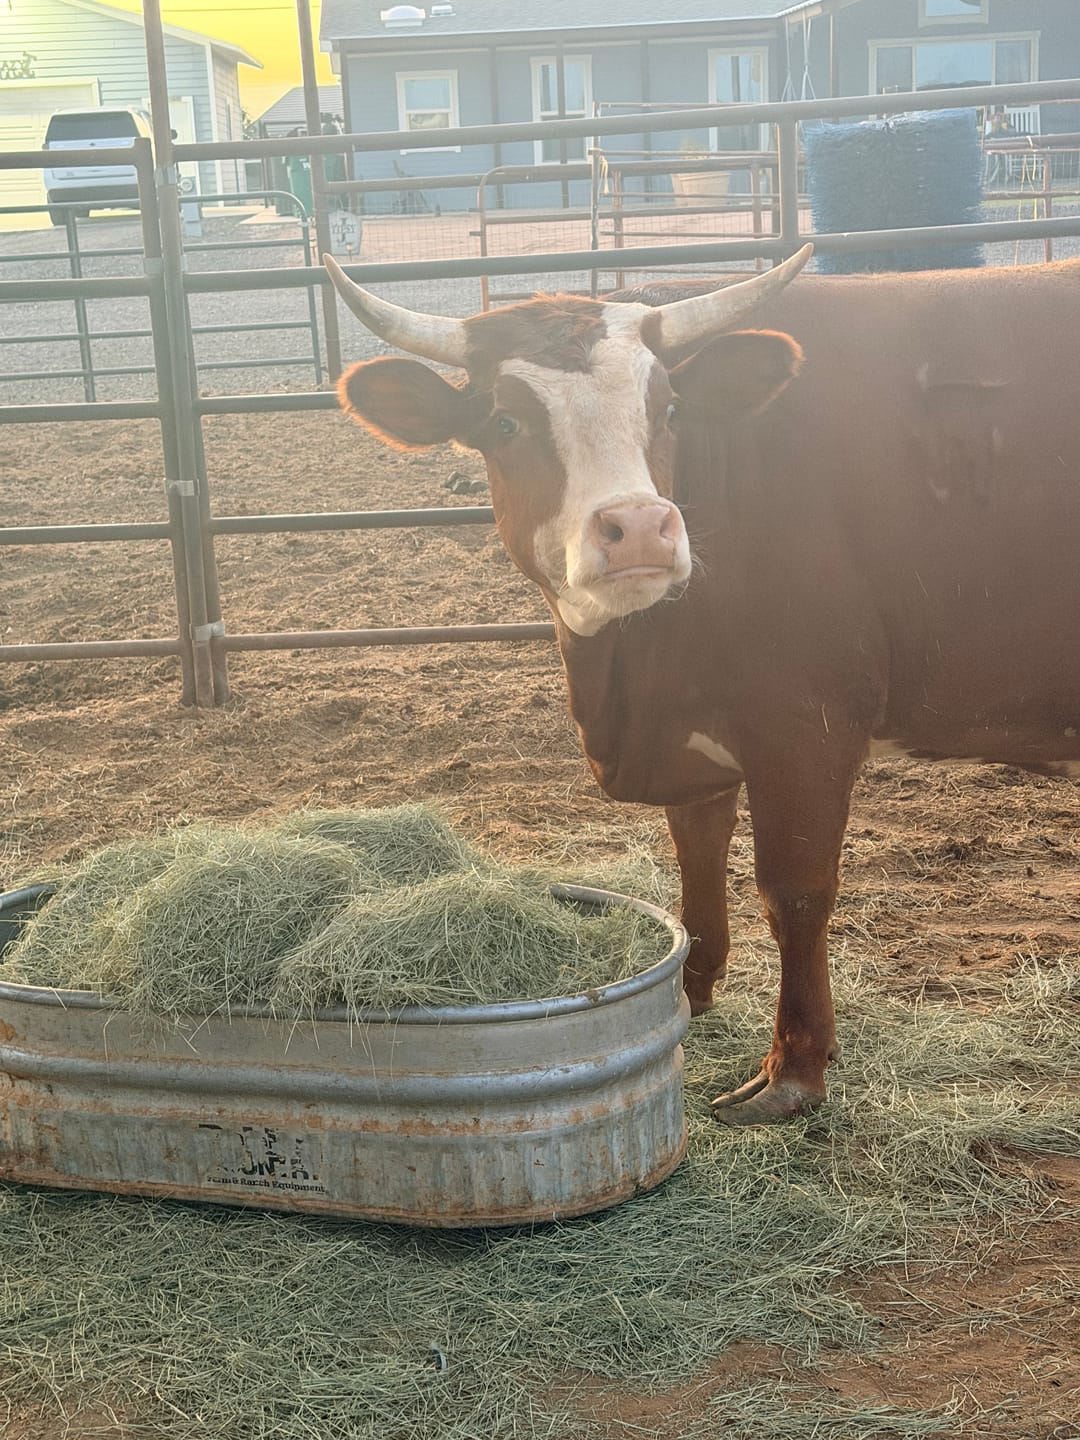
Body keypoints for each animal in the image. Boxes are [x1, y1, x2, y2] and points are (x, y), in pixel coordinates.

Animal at [323, 249, 1080, 1125]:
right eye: (504, 423)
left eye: (671, 408)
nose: (641, 530)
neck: (634, 673)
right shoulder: (694, 733)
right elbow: (697, 859)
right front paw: (688, 991)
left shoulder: (805, 729)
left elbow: (794, 894)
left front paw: (793, 1069)